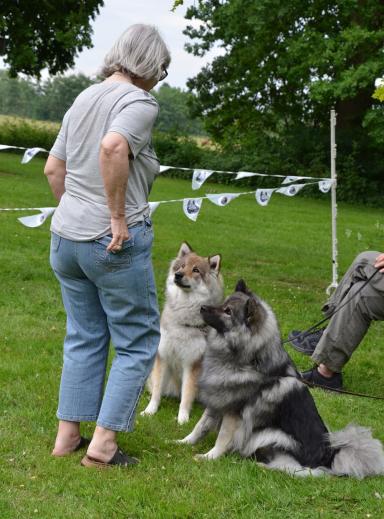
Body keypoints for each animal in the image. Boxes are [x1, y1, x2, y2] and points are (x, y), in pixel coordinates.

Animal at [178, 280, 384, 480]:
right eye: (223, 304)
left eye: (228, 311)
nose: (202, 307)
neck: (248, 360)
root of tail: (330, 457)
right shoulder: (218, 401)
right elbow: (200, 426)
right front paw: (183, 442)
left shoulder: (233, 411)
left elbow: (222, 438)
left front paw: (209, 457)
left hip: (272, 435)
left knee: (300, 470)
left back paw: (262, 466)